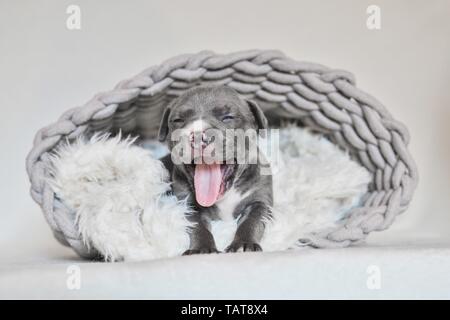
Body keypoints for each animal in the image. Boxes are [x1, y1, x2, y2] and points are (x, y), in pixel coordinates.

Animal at [156, 85, 272, 255]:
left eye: (228, 117)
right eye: (178, 120)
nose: (198, 136)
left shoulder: (260, 201)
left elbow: (252, 220)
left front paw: (244, 244)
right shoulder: (189, 206)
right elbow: (198, 226)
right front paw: (201, 248)